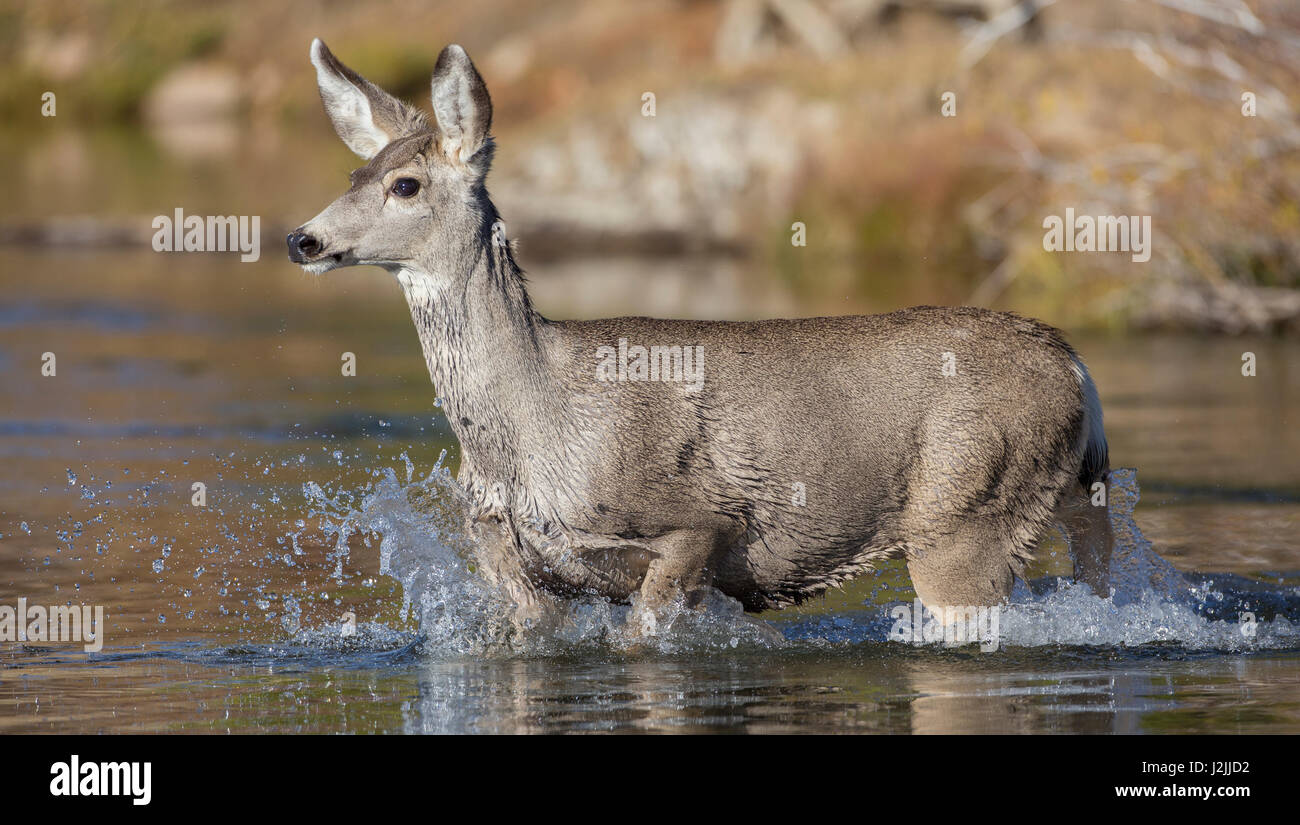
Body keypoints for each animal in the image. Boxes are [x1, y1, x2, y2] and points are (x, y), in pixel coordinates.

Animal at [287, 39, 1113, 638]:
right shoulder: (515, 564)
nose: (303, 238)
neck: (531, 427)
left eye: (405, 185)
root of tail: (1077, 366)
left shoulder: (694, 524)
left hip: (966, 513)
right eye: (356, 173)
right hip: (1074, 495)